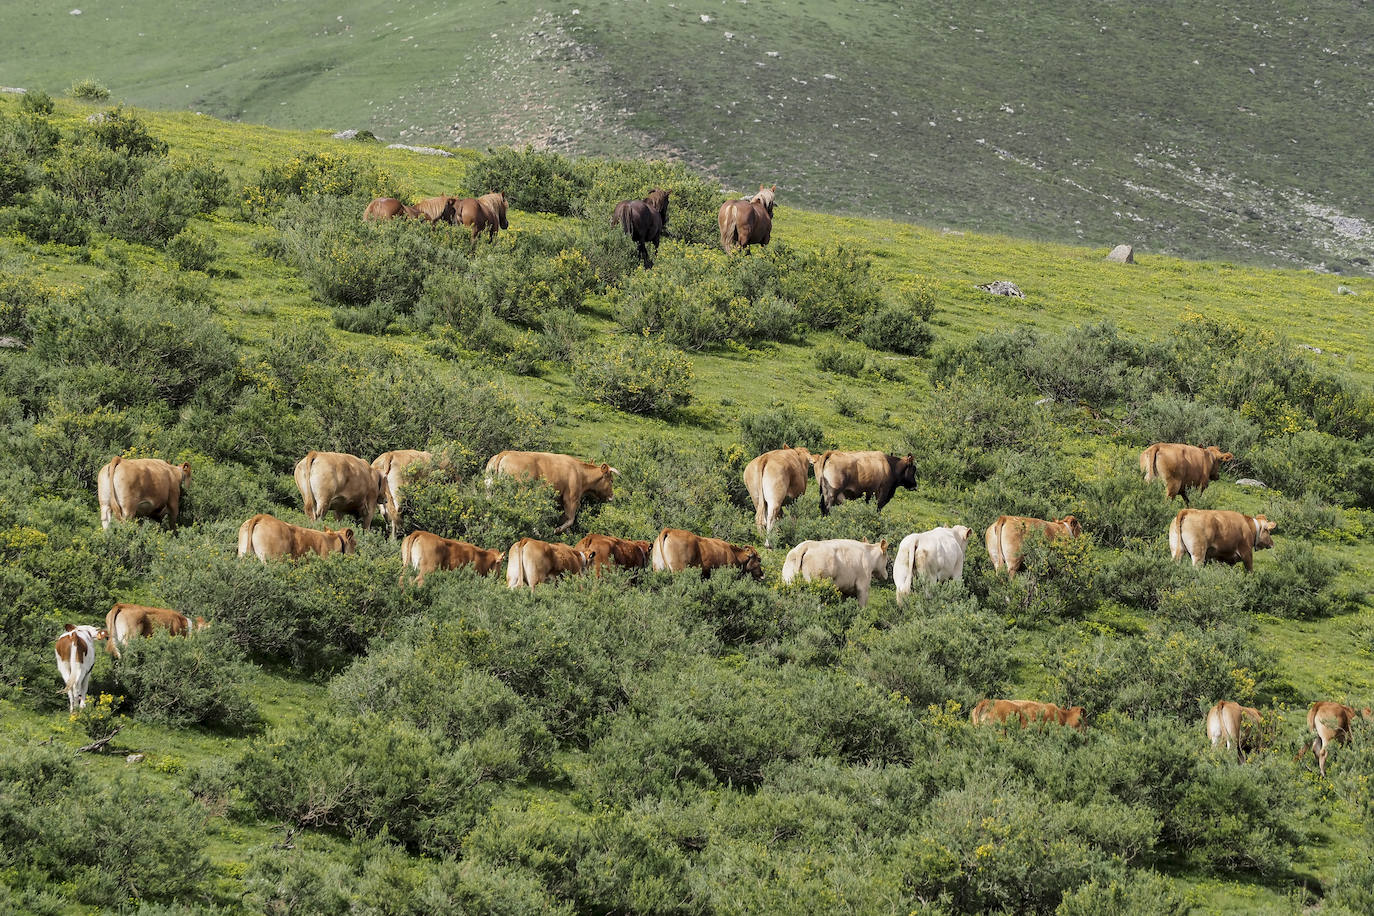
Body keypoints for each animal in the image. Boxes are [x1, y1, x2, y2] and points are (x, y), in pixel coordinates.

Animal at [480, 450, 615, 532]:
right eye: (611, 480)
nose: (612, 497)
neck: (579, 472)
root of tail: (505, 453)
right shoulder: (571, 499)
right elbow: (570, 519)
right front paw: (556, 530)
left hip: (489, 490)